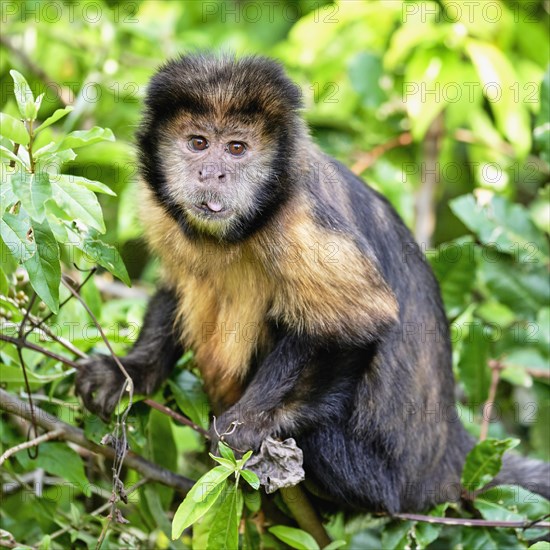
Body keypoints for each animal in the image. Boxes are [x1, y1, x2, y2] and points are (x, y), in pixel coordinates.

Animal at [75, 52, 548, 512]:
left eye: (236, 149)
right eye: (198, 143)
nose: (212, 174)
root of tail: (449, 455)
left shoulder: (299, 217)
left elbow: (363, 319)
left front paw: (247, 425)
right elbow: (175, 288)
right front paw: (129, 373)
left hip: (376, 479)